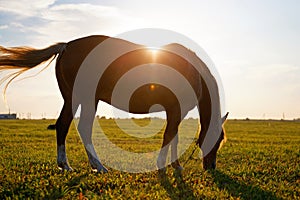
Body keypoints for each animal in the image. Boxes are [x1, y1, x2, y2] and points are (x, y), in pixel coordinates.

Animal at [0, 35, 229, 173]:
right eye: (217, 140)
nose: (211, 167)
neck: (194, 72)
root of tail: (66, 46)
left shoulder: (175, 112)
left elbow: (174, 138)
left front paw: (176, 166)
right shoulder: (175, 110)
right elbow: (169, 136)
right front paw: (164, 166)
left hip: (73, 99)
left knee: (63, 125)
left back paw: (65, 165)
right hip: (87, 99)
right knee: (83, 128)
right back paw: (98, 166)